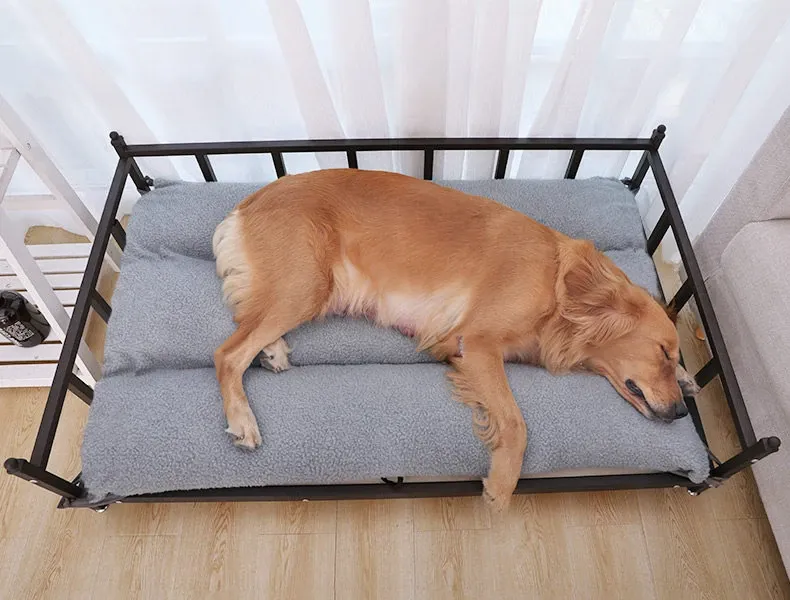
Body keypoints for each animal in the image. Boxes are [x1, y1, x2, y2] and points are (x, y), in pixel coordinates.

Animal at [213, 169, 700, 510]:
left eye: (674, 357)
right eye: (662, 351)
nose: (680, 413)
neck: (559, 287)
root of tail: (250, 199)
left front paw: (690, 382)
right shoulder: (477, 344)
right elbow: (517, 424)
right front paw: (502, 485)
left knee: (251, 323)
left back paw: (273, 350)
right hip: (308, 284)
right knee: (228, 352)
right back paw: (244, 420)